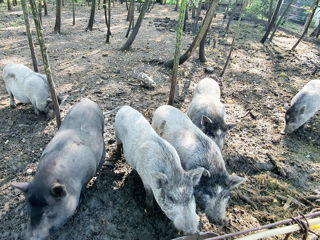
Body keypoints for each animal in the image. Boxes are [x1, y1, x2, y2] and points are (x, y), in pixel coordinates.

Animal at [114, 105, 206, 234]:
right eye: (171, 198)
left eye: (191, 195)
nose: (191, 231)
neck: (173, 172)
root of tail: (124, 107)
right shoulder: (145, 180)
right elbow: (148, 194)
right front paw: (149, 209)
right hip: (116, 132)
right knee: (118, 143)